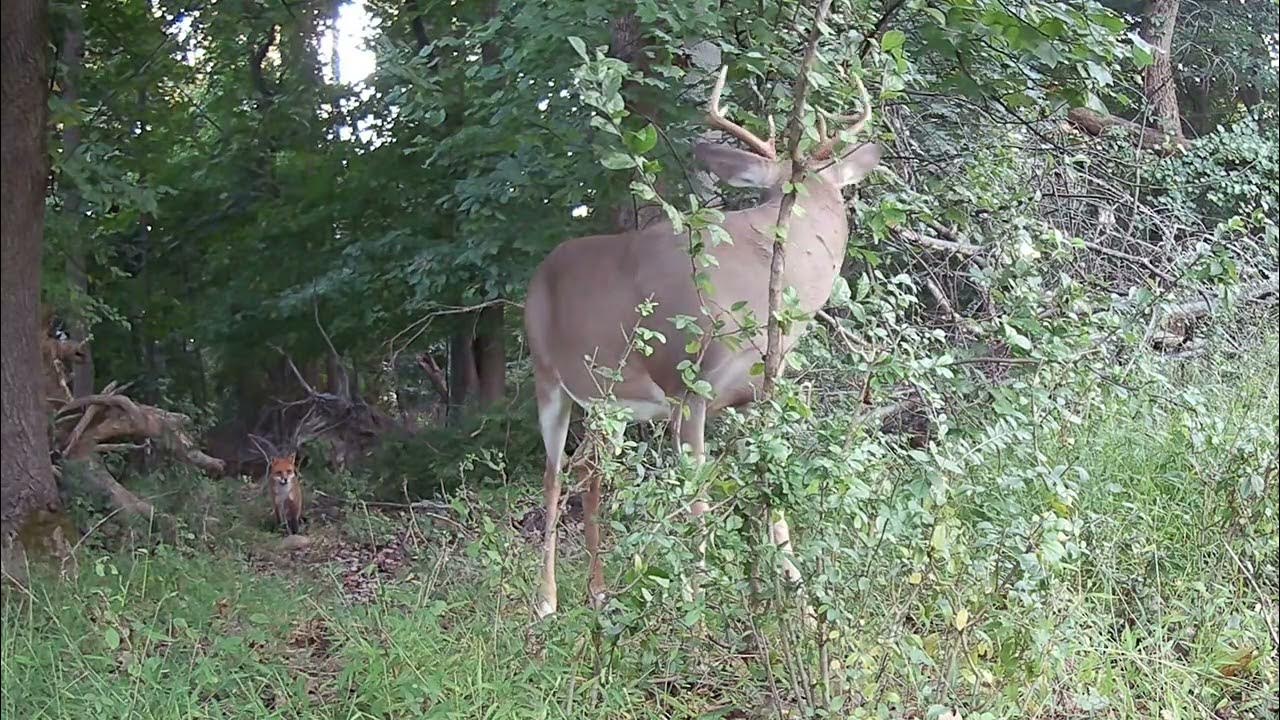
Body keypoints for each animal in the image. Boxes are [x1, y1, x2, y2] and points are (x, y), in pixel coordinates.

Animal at [524, 65, 882, 619]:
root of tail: (539, 272)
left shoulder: (757, 396)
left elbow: (773, 490)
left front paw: (801, 601)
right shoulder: (687, 386)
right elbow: (698, 499)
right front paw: (697, 606)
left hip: (611, 404)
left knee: (591, 471)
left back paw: (600, 593)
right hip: (548, 378)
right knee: (554, 473)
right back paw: (547, 601)